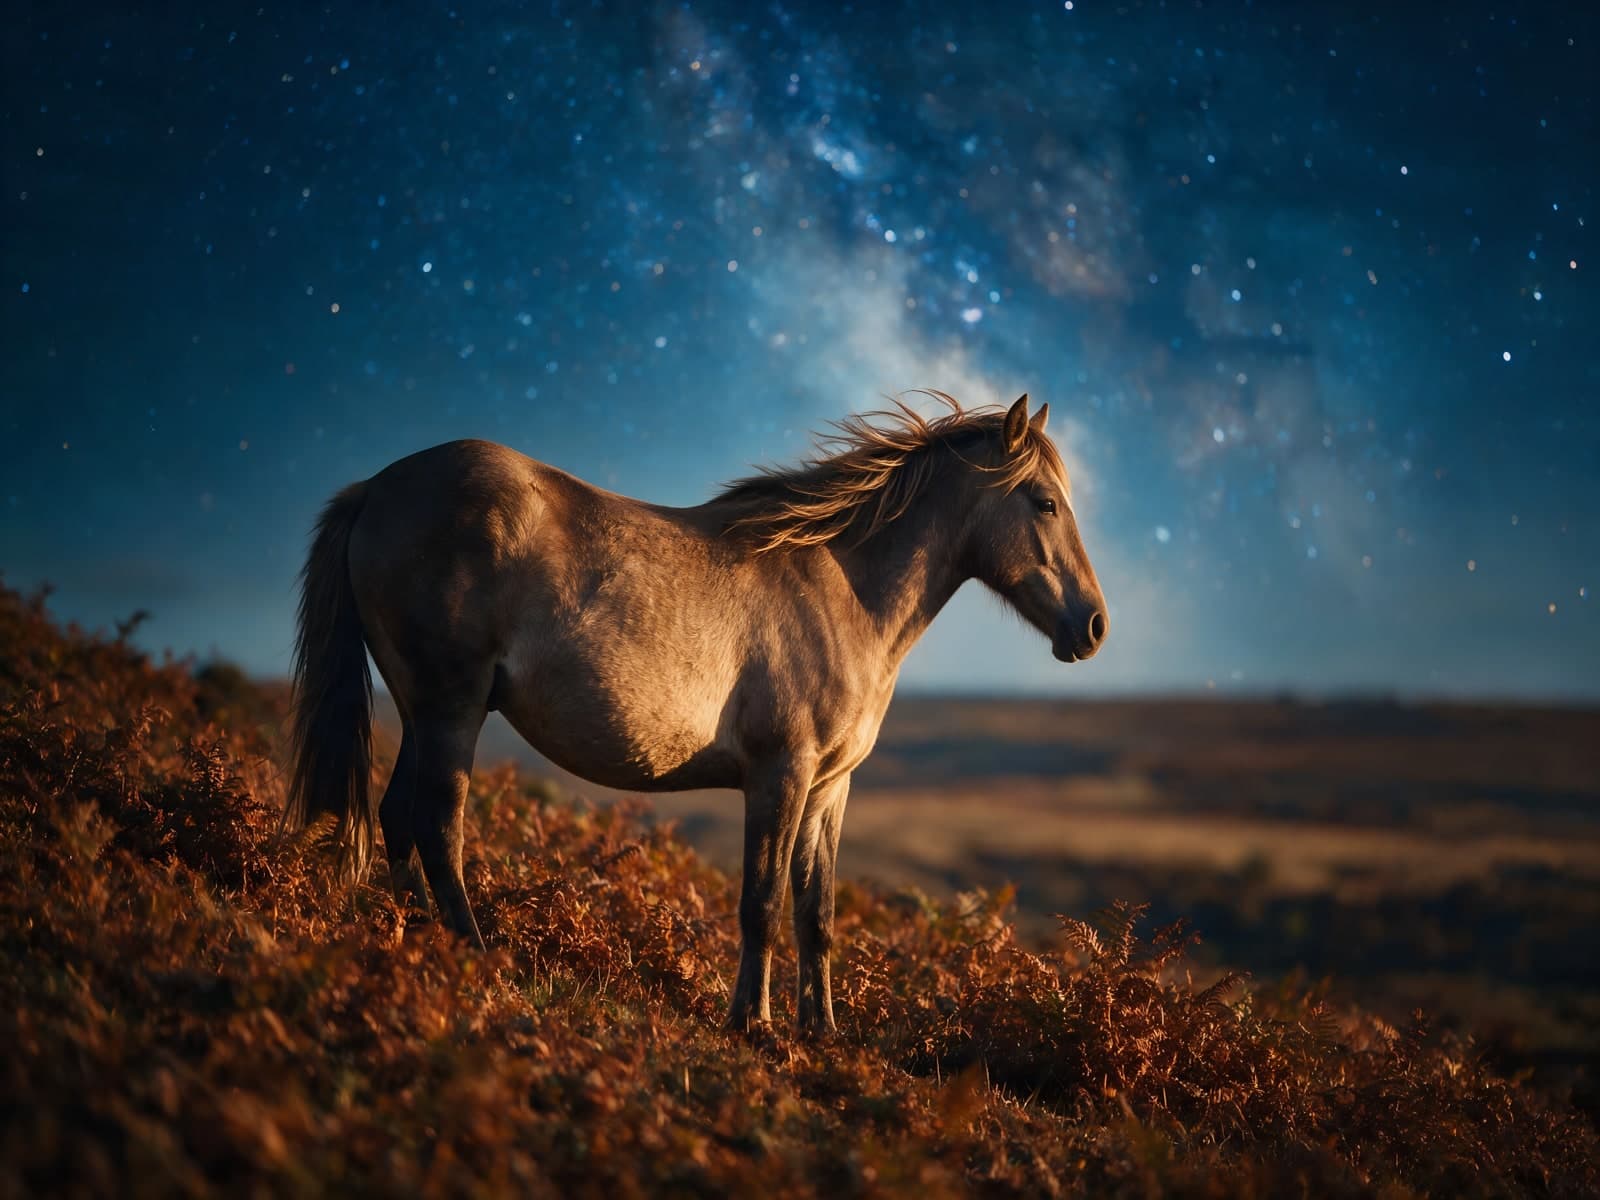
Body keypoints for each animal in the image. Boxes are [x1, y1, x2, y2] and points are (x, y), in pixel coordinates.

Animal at [284, 392, 1108, 1035]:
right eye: (1045, 502)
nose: (1094, 627)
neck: (844, 591)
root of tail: (379, 486)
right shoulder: (781, 774)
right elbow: (762, 903)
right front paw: (755, 1024)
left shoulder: (829, 788)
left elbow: (817, 914)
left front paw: (823, 1032)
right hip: (451, 708)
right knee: (437, 825)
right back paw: (474, 954)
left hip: (422, 713)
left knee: (396, 817)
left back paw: (417, 940)